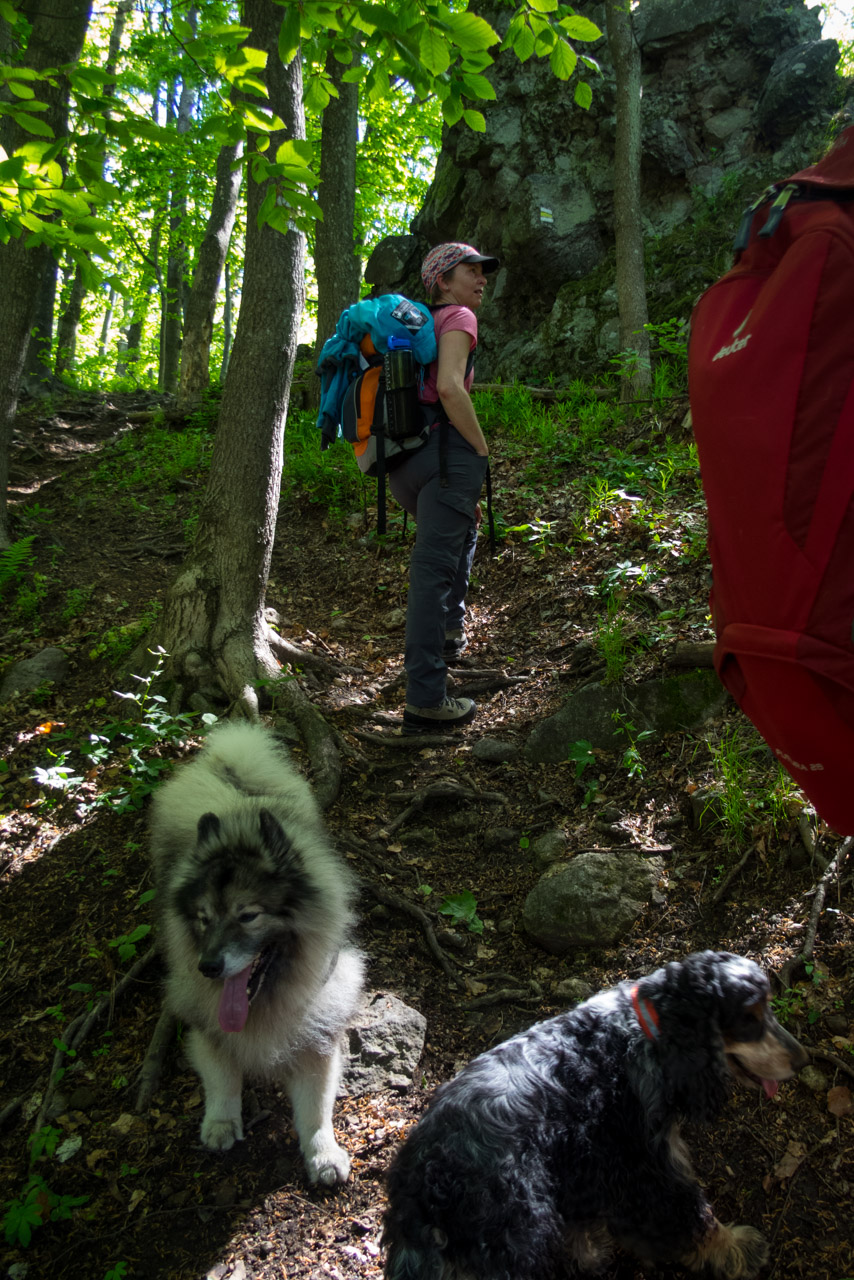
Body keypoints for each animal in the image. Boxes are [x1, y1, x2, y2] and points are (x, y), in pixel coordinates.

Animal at [150, 727, 363, 1182]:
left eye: (248, 916)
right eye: (203, 918)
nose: (209, 967)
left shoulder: (317, 1035)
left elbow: (316, 1108)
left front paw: (323, 1153)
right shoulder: (204, 1026)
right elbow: (222, 1077)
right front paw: (220, 1122)